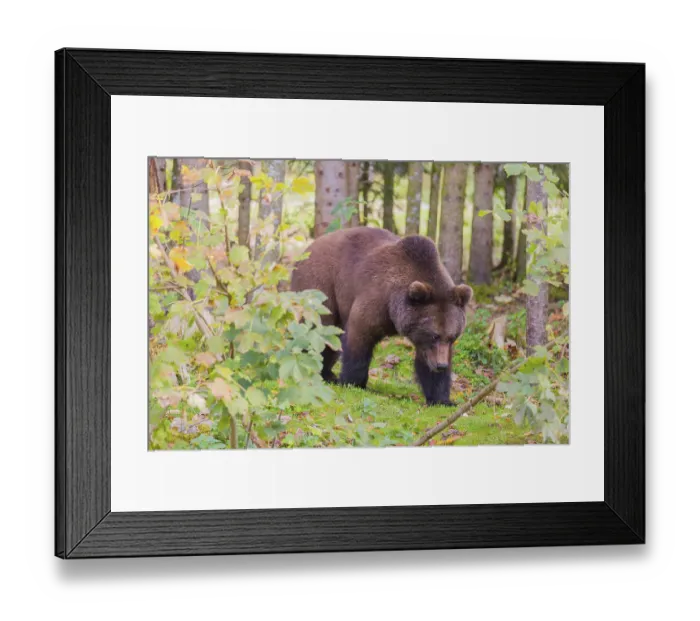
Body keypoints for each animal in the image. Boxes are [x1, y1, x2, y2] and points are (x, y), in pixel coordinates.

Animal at [290, 227, 472, 406]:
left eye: (452, 336)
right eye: (434, 335)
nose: (441, 365)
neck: (394, 309)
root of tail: (307, 249)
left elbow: (427, 360)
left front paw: (442, 399)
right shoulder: (375, 300)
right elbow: (359, 337)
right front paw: (353, 382)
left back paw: (327, 373)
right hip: (321, 284)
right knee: (318, 328)